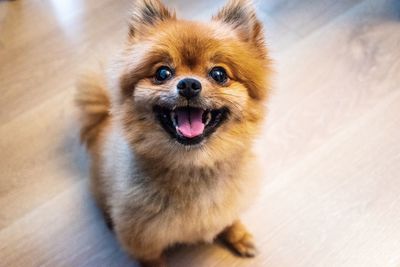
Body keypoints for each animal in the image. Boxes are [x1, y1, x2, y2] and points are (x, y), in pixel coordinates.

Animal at [74, 0, 272, 266]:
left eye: (219, 74)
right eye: (162, 73)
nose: (188, 84)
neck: (194, 166)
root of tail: (104, 117)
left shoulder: (230, 202)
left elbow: (229, 218)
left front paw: (238, 234)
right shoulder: (142, 240)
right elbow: (152, 260)